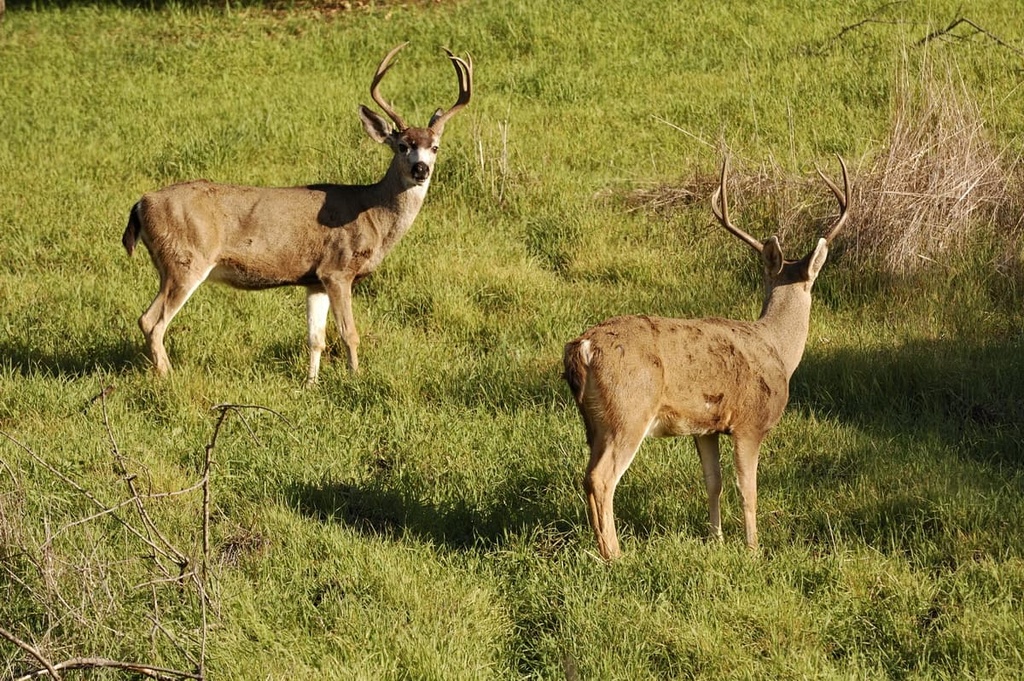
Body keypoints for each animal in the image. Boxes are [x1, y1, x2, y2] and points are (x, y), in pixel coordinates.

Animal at [122, 42, 471, 382]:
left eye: (435, 146)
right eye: (402, 146)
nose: (421, 169)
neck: (372, 213)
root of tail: (141, 203)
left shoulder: (314, 279)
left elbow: (316, 338)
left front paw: (310, 384)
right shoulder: (337, 268)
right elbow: (349, 333)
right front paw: (355, 377)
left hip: (170, 264)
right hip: (186, 259)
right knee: (151, 321)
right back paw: (167, 376)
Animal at [561, 156, 847, 561]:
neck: (777, 348)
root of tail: (583, 346)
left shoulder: (706, 427)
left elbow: (714, 482)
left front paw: (717, 539)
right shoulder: (749, 422)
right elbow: (748, 488)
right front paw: (753, 548)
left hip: (595, 421)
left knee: (588, 475)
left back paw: (601, 546)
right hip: (629, 410)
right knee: (601, 478)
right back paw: (615, 555)